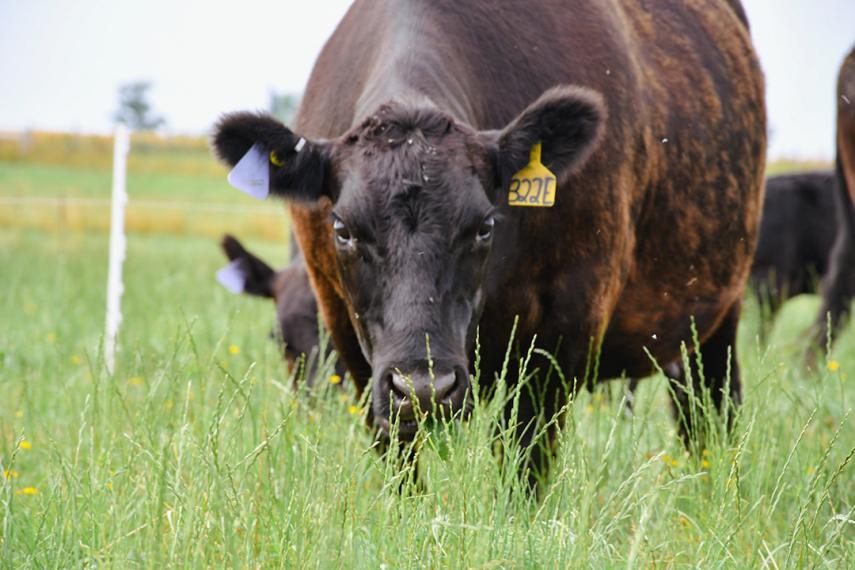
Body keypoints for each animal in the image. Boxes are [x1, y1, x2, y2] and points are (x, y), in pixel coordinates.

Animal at [211, 0, 764, 482]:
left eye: (485, 226)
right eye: (342, 229)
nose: (425, 388)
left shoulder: (565, 327)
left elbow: (524, 458)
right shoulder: (351, 335)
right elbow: (399, 455)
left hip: (717, 318)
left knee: (708, 416)